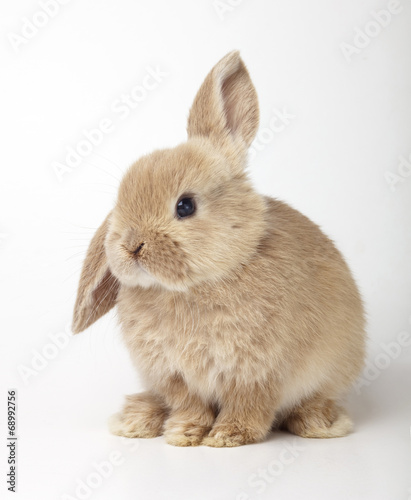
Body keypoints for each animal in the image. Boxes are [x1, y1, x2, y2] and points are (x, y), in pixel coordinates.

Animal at [71, 50, 366, 448]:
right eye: (120, 203)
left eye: (185, 206)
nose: (131, 245)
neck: (193, 286)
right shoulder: (174, 375)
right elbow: (189, 405)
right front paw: (183, 433)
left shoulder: (258, 372)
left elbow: (249, 405)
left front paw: (227, 436)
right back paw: (135, 420)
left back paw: (320, 424)